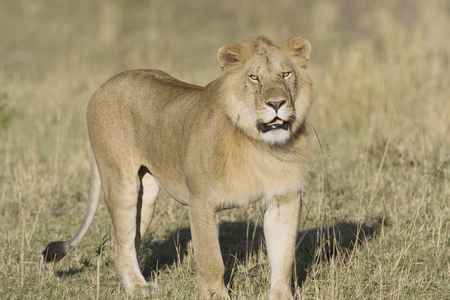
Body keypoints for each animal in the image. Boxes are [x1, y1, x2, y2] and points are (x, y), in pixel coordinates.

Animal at [44, 36, 314, 298]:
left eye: (285, 74)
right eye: (254, 77)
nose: (277, 103)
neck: (259, 146)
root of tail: (102, 86)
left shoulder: (285, 197)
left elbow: (283, 257)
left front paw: (281, 295)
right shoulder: (201, 202)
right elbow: (211, 260)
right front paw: (216, 296)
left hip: (147, 192)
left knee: (128, 241)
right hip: (121, 183)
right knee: (121, 244)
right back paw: (138, 288)